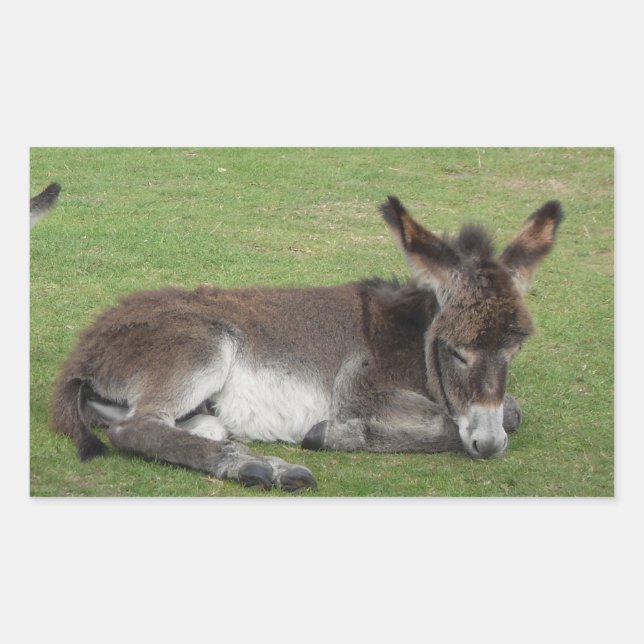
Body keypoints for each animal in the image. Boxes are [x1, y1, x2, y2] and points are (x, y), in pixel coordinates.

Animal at [50, 196, 562, 491]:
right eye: (455, 350)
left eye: (514, 350)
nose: (488, 446)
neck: (409, 337)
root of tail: (84, 348)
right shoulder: (359, 392)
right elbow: (455, 423)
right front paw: (330, 434)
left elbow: (512, 411)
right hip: (201, 348)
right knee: (134, 429)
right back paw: (260, 469)